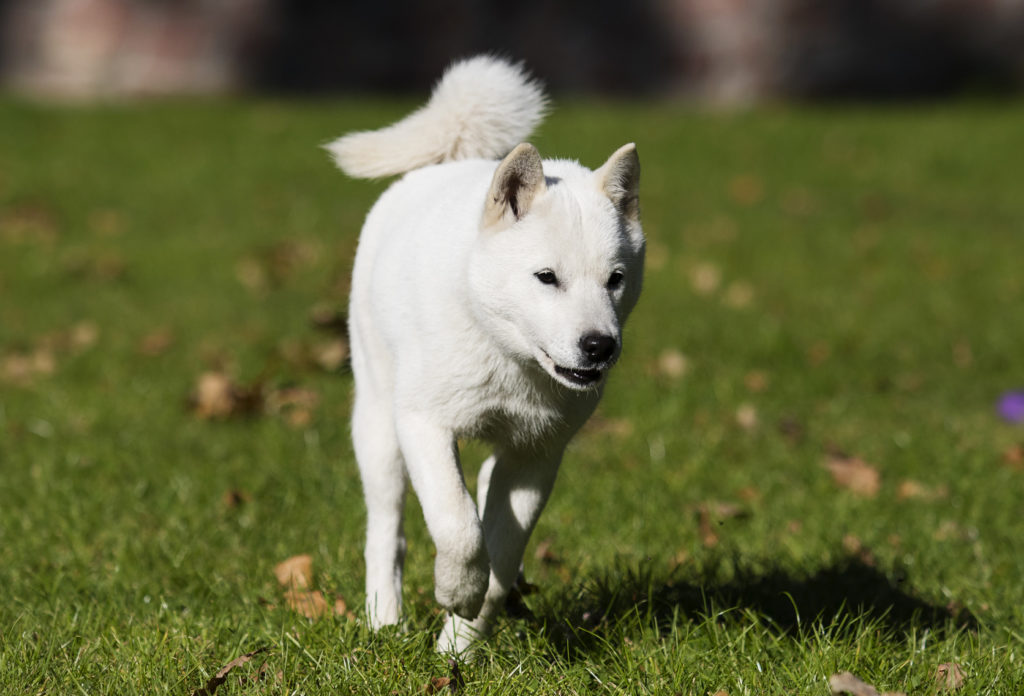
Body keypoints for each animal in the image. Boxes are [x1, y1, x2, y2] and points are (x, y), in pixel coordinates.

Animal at [327, 54, 643, 650]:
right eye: (547, 277)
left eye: (615, 279)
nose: (600, 346)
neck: (507, 357)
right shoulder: (423, 423)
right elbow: (458, 525)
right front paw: (457, 594)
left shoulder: (538, 454)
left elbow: (501, 545)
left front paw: (460, 645)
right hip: (378, 427)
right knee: (387, 532)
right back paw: (385, 620)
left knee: (485, 491)